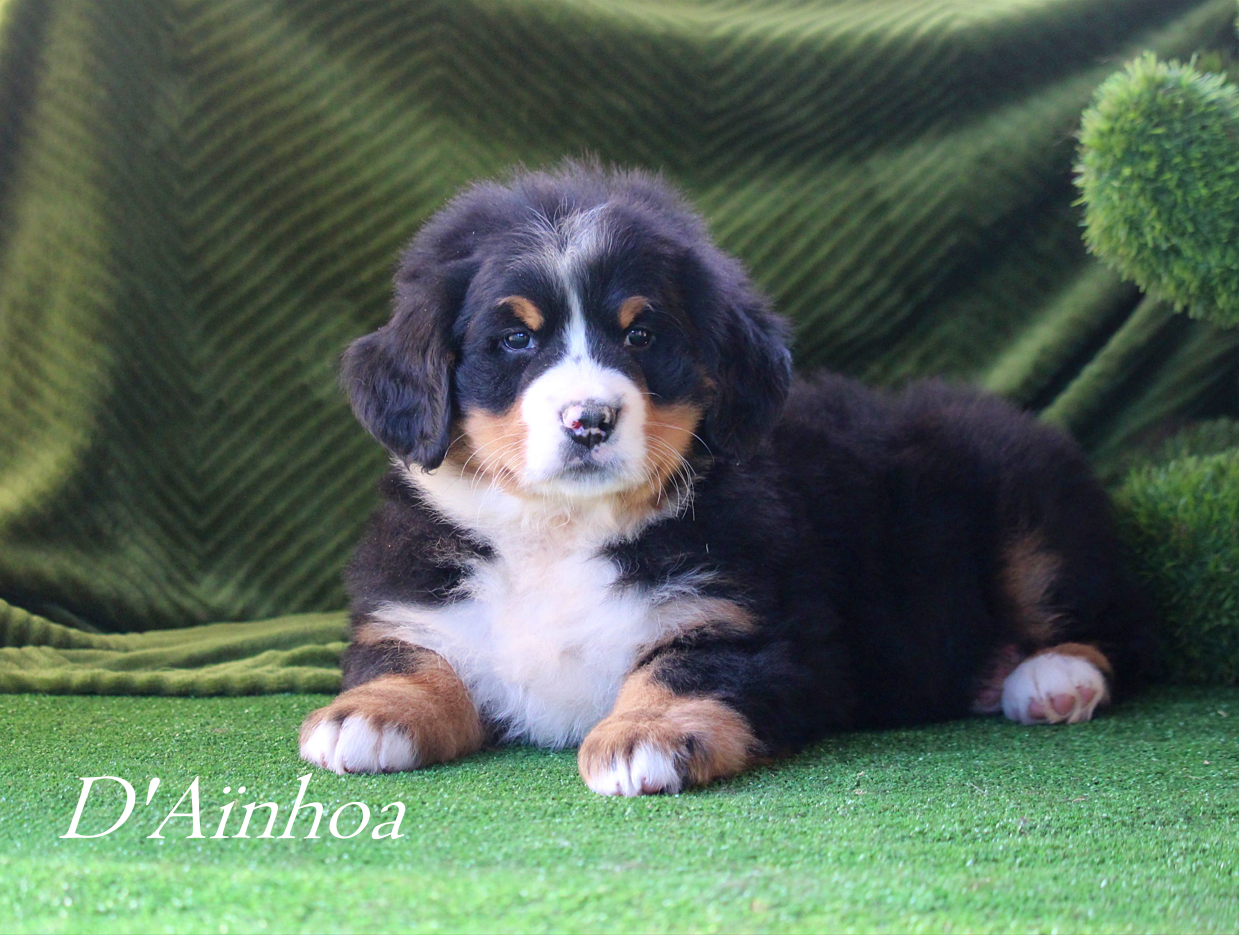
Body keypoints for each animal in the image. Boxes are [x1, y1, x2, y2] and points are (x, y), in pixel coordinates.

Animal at [299, 163, 1154, 796]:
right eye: (514, 339)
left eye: (642, 333)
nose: (589, 420)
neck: (562, 530)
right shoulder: (415, 606)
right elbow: (409, 658)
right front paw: (366, 716)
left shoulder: (754, 624)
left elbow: (684, 666)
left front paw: (641, 734)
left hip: (1030, 517)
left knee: (1108, 623)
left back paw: (1052, 679)